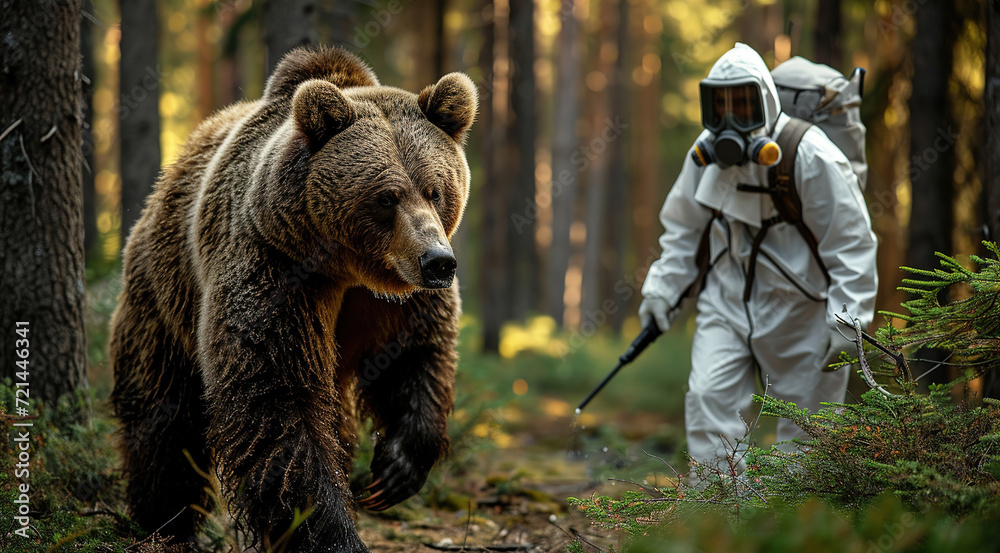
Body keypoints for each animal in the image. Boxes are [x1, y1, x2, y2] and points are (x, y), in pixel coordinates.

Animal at [109, 45, 477, 552]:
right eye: (386, 196)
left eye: (436, 189)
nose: (438, 261)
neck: (345, 267)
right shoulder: (277, 270)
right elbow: (278, 400)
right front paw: (331, 532)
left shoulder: (394, 302)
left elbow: (414, 357)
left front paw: (395, 471)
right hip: (165, 291)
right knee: (163, 411)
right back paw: (166, 520)